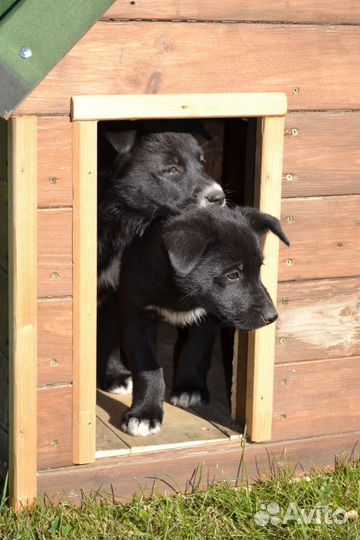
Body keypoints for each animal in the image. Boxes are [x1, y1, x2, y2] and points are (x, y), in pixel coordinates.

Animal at [97, 121, 224, 392]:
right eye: (172, 169)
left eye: (202, 162)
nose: (219, 197)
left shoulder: (116, 285)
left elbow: (109, 333)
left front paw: (113, 375)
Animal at [119, 205, 290, 436]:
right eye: (233, 274)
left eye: (259, 268)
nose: (272, 316)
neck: (180, 294)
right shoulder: (137, 313)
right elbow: (148, 366)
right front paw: (145, 413)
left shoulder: (209, 315)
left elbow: (196, 349)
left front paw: (190, 388)